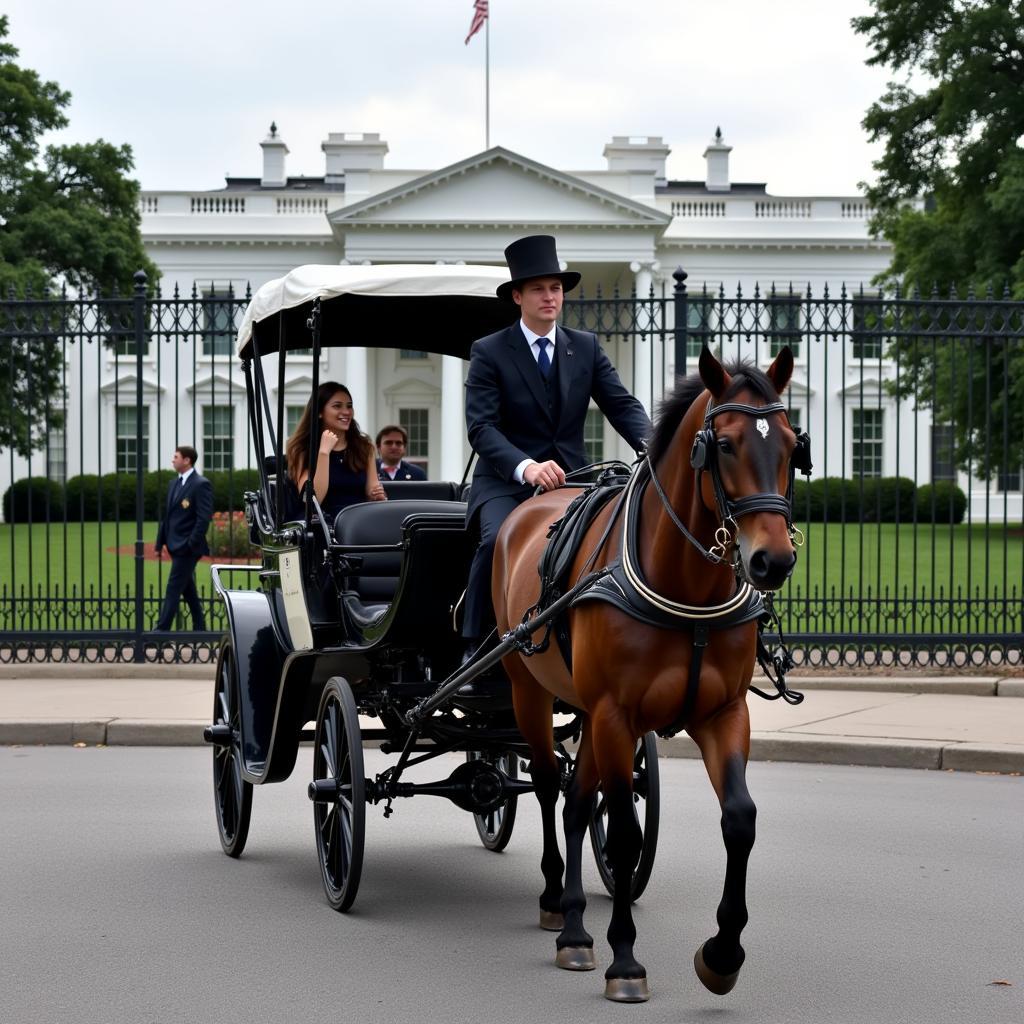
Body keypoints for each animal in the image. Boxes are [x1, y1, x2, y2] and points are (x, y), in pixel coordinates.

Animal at [491, 344, 802, 999]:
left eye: (793, 444)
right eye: (725, 444)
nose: (773, 560)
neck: (686, 589)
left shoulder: (722, 713)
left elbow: (739, 819)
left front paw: (723, 953)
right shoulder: (616, 714)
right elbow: (626, 835)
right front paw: (626, 959)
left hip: (584, 711)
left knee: (577, 801)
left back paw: (575, 927)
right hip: (530, 692)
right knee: (550, 788)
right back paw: (556, 900)